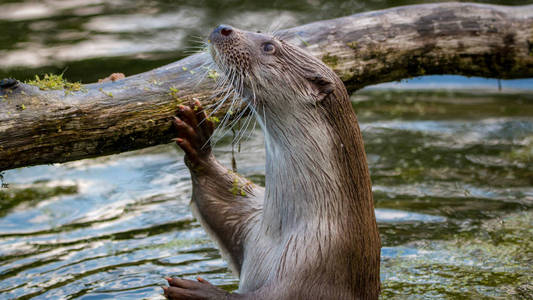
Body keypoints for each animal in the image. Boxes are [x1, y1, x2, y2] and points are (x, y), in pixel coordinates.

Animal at [164, 24, 380, 298]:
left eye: (269, 47)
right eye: (260, 33)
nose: (223, 28)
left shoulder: (315, 266)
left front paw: (198, 291)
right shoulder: (250, 222)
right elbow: (217, 202)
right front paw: (197, 137)